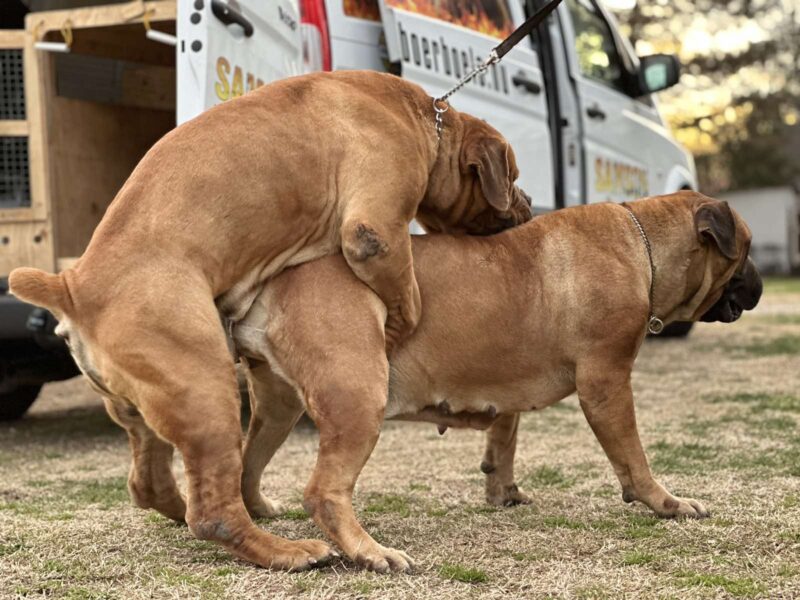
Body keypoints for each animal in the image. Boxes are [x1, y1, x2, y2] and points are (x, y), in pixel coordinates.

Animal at [7, 71, 532, 572]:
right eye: (513, 175)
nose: (528, 202)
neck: (425, 119)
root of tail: (72, 287)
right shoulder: (375, 231)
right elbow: (408, 297)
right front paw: (400, 326)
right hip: (206, 390)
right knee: (214, 512)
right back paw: (291, 552)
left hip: (146, 409)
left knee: (152, 483)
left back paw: (186, 509)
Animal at [233, 191, 764, 572]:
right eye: (747, 249)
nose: (760, 286)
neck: (644, 246)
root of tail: (271, 281)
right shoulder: (607, 383)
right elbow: (633, 458)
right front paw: (666, 503)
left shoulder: (507, 380)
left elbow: (504, 437)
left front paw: (502, 491)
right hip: (359, 397)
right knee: (324, 492)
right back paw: (371, 553)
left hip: (278, 409)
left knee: (246, 463)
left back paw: (262, 518)